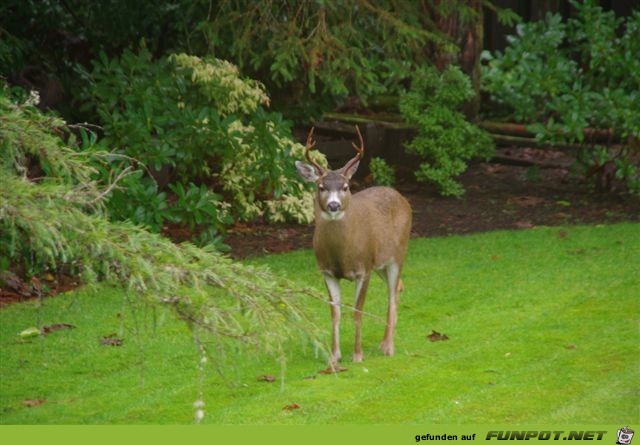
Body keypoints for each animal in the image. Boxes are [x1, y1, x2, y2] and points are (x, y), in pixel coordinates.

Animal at [296, 125, 412, 364]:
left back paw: (389, 346)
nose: (333, 205)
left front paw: (357, 355)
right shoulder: (327, 271)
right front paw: (334, 356)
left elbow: (357, 311)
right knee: (398, 287)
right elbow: (335, 312)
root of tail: (401, 197)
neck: (343, 254)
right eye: (321, 186)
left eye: (346, 186)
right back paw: (384, 341)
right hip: (381, 263)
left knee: (392, 293)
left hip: (398, 253)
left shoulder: (364, 268)